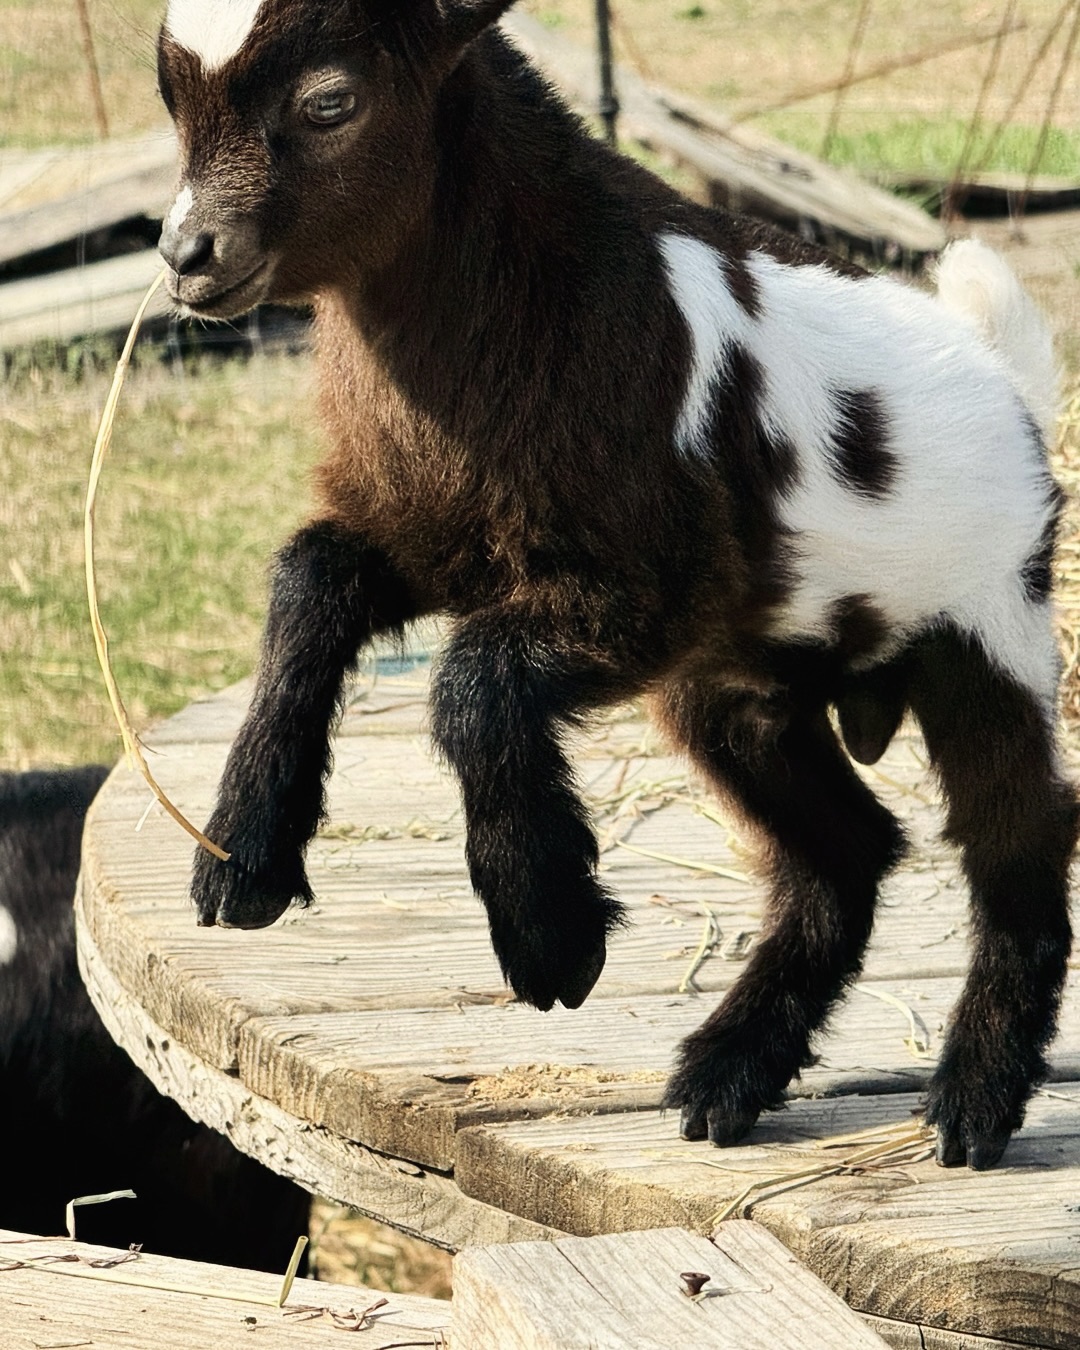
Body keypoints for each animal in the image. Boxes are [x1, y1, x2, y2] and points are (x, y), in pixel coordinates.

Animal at [156, 0, 1077, 1171]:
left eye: (329, 102)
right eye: (169, 101)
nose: (188, 256)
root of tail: (1004, 371)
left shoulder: (654, 589)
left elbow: (475, 678)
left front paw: (550, 937)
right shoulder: (440, 538)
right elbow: (309, 580)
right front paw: (243, 859)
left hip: (986, 625)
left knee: (1020, 842)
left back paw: (972, 1103)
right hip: (745, 688)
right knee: (848, 850)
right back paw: (728, 1076)